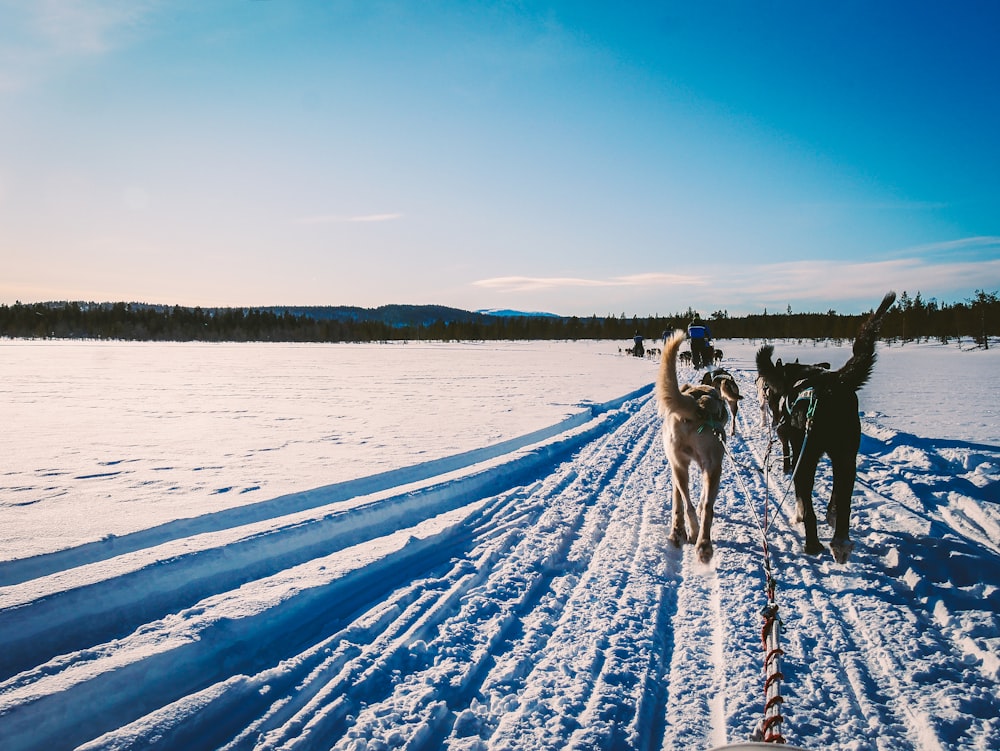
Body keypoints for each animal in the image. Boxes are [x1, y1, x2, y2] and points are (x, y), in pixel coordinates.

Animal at [656, 330, 728, 564]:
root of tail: (696, 405)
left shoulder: (676, 466)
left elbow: (677, 500)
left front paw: (677, 529)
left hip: (681, 466)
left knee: (688, 505)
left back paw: (688, 533)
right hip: (714, 467)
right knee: (706, 507)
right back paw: (703, 544)